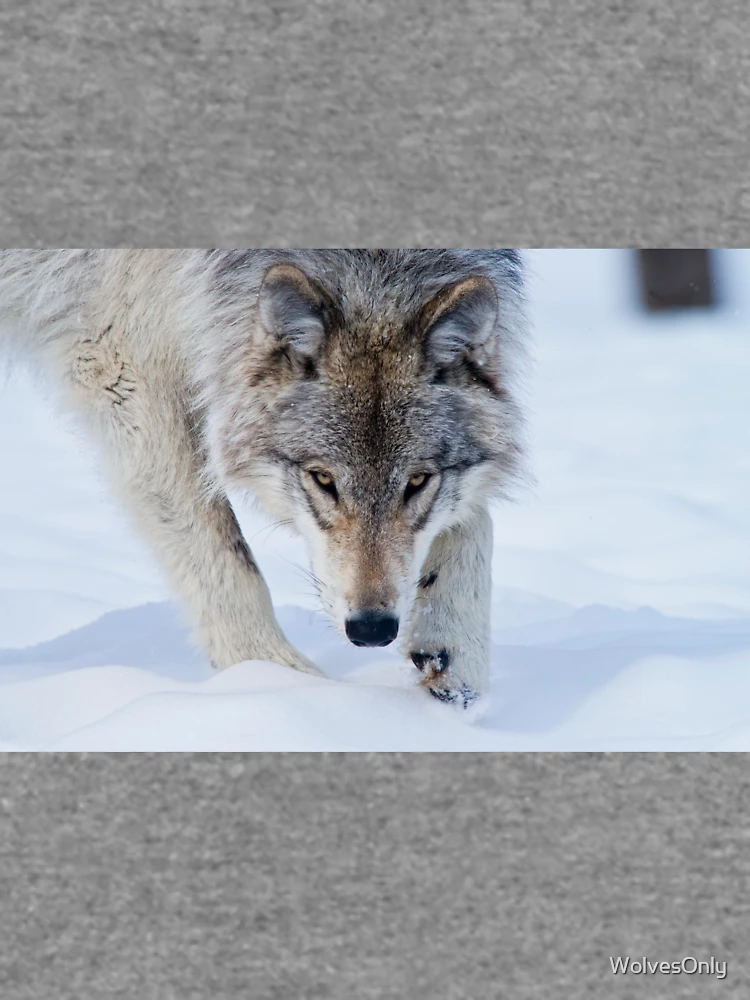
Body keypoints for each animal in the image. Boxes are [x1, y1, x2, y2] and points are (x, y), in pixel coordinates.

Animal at [0, 250, 528, 705]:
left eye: (417, 482)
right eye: (322, 479)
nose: (372, 629)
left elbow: (474, 518)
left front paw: (453, 654)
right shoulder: (119, 363)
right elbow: (225, 555)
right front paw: (283, 688)